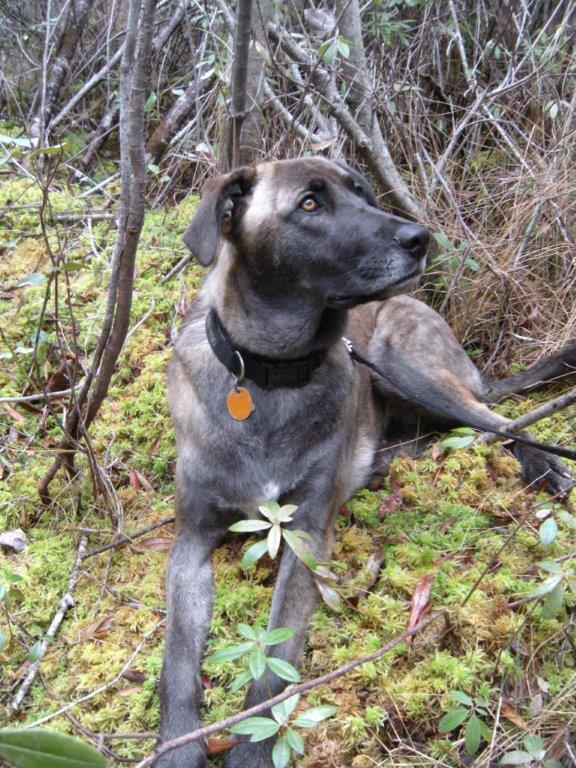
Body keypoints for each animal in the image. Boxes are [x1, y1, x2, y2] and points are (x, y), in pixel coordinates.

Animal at [157, 157, 574, 768]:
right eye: (310, 204)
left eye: (362, 192)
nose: (420, 238)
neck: (270, 373)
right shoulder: (190, 542)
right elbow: (178, 660)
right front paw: (175, 746)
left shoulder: (306, 533)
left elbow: (276, 661)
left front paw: (253, 748)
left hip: (402, 363)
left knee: (495, 419)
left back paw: (542, 462)